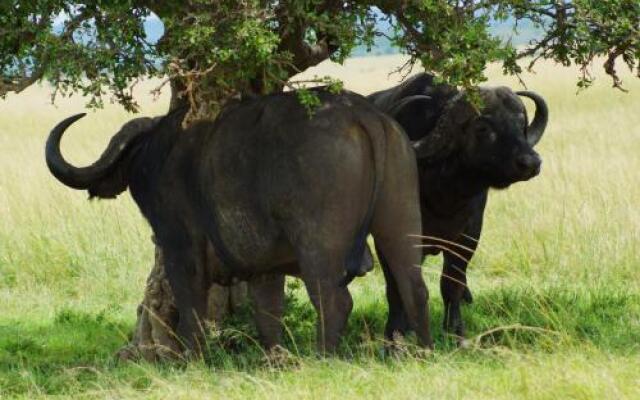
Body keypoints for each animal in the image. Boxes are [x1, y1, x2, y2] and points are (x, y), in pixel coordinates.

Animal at [47, 90, 432, 354]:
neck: (165, 158)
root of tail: (362, 114)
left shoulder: (180, 249)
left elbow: (192, 310)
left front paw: (193, 359)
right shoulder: (266, 267)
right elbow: (268, 312)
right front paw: (274, 357)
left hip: (318, 246)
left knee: (334, 300)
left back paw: (324, 356)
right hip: (400, 222)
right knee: (414, 288)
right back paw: (423, 350)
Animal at [368, 73, 548, 342]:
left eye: (521, 124)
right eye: (483, 128)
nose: (531, 162)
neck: (442, 195)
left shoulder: (468, 237)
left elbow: (451, 283)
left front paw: (454, 330)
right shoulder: (390, 237)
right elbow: (396, 286)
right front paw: (395, 332)